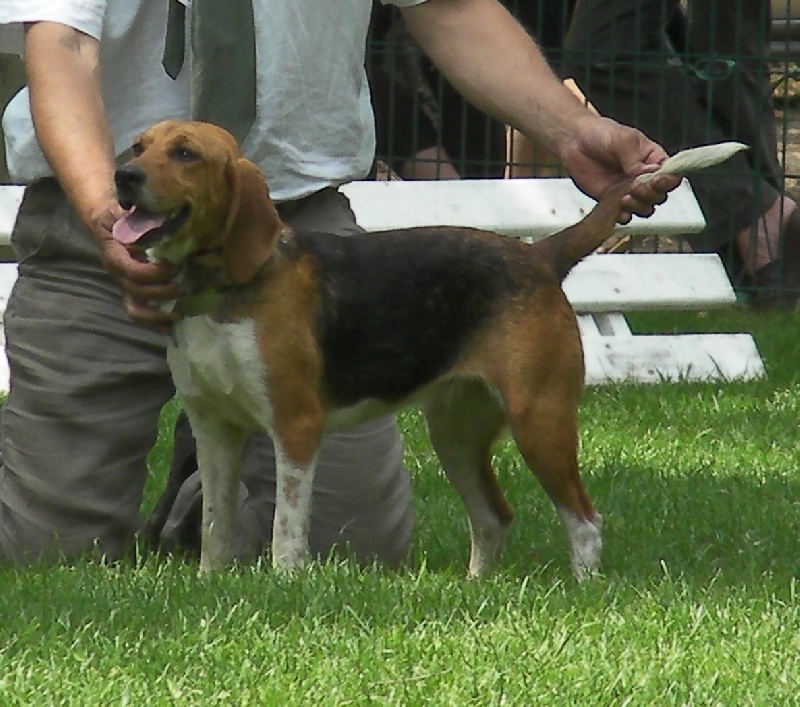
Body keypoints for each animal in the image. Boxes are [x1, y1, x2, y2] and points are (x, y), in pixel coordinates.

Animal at [114, 119, 632, 580]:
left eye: (186, 153)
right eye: (138, 147)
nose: (124, 176)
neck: (221, 293)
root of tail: (538, 255)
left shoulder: (296, 426)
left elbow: (286, 527)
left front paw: (285, 583)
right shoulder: (214, 429)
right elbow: (215, 524)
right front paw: (210, 580)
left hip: (539, 421)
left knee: (585, 520)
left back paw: (583, 586)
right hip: (456, 435)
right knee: (493, 516)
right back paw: (475, 586)